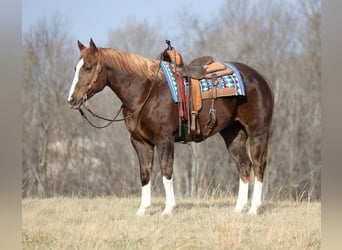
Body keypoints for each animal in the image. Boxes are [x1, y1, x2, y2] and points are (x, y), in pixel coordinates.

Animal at [68, 39, 274, 215]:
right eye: (75, 67)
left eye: (88, 67)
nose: (72, 100)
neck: (146, 91)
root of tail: (261, 79)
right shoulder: (140, 142)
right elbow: (145, 174)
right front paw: (142, 210)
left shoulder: (164, 139)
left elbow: (166, 171)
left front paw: (168, 209)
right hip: (233, 134)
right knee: (244, 165)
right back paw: (239, 209)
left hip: (258, 132)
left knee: (258, 165)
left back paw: (253, 209)